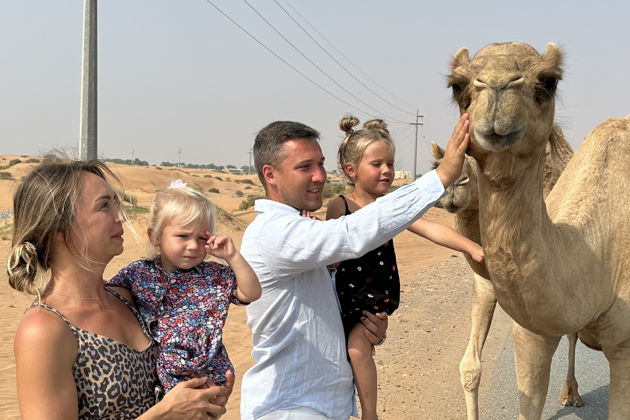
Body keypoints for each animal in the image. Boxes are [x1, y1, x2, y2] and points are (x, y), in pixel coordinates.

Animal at [434, 134, 584, 420]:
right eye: (437, 163)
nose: (455, 185)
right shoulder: (484, 284)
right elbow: (470, 368)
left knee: (573, 333)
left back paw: (571, 394)